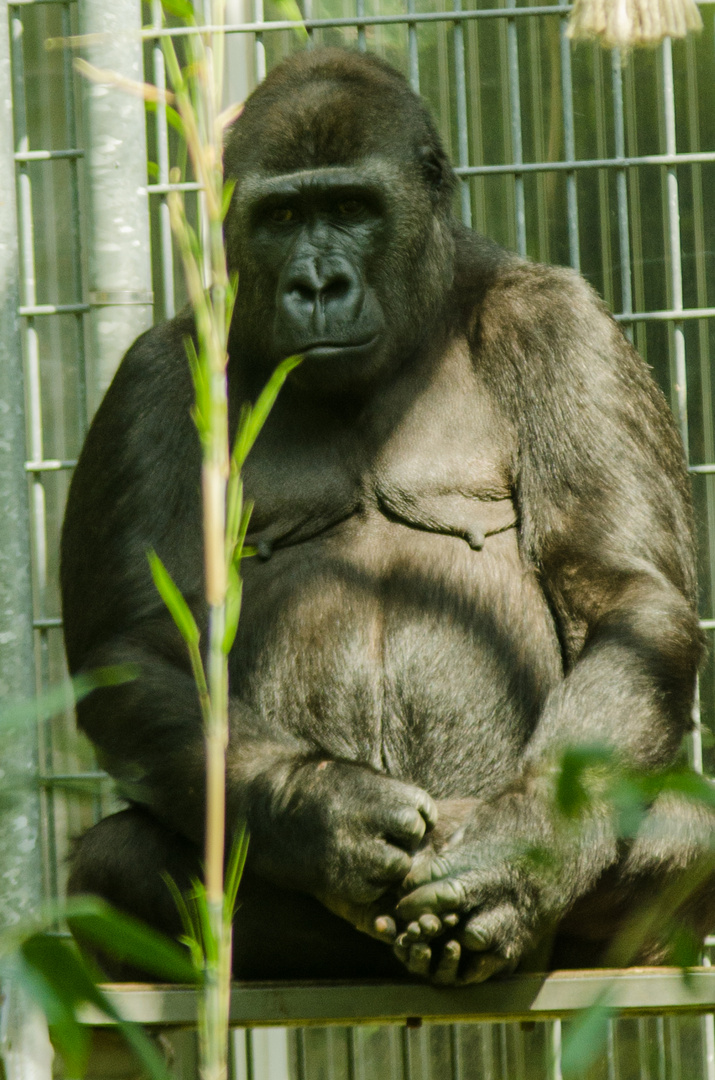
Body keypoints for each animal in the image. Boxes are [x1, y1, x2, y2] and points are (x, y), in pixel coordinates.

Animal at [62, 46, 712, 984]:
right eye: (282, 215)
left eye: (350, 208)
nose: (317, 284)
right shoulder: (157, 375)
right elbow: (139, 649)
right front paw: (323, 812)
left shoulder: (564, 325)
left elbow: (620, 596)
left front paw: (518, 854)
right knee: (111, 868)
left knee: (688, 832)